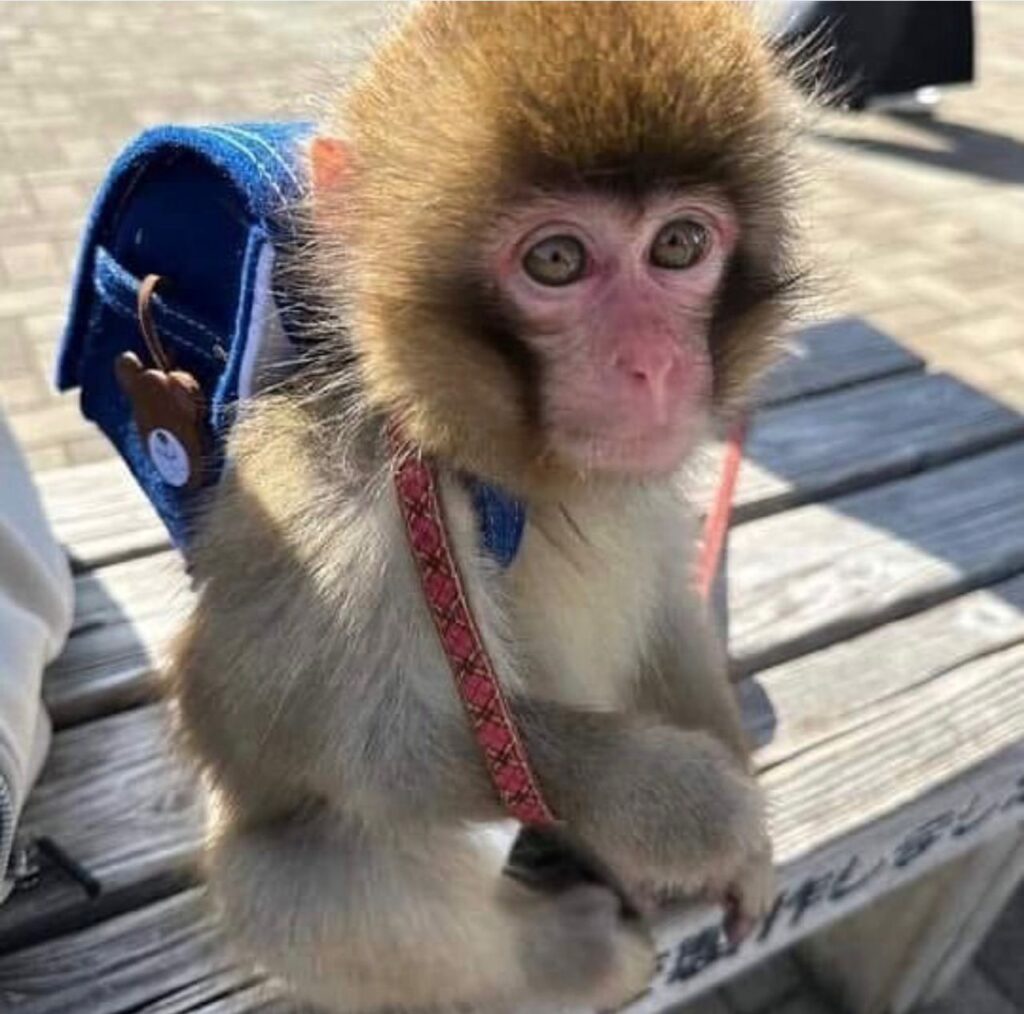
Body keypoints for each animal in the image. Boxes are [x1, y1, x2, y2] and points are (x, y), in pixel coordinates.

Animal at [169, 3, 802, 1012]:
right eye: (556, 260)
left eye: (679, 245)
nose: (653, 365)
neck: (524, 472)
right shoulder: (334, 495)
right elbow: (359, 746)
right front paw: (690, 809)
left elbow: (668, 595)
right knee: (291, 880)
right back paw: (565, 959)